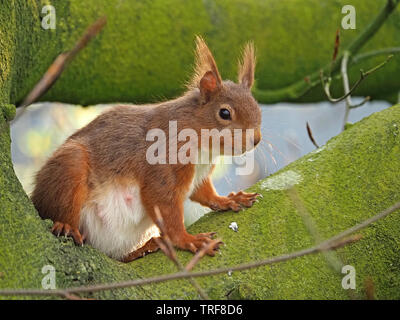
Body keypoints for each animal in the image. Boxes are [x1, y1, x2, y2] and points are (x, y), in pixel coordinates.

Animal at [31, 37, 262, 262]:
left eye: (257, 108)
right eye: (224, 113)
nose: (256, 140)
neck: (204, 147)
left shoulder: (199, 175)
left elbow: (203, 193)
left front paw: (228, 199)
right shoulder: (163, 163)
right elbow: (163, 204)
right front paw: (187, 240)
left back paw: (145, 247)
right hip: (70, 168)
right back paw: (66, 226)